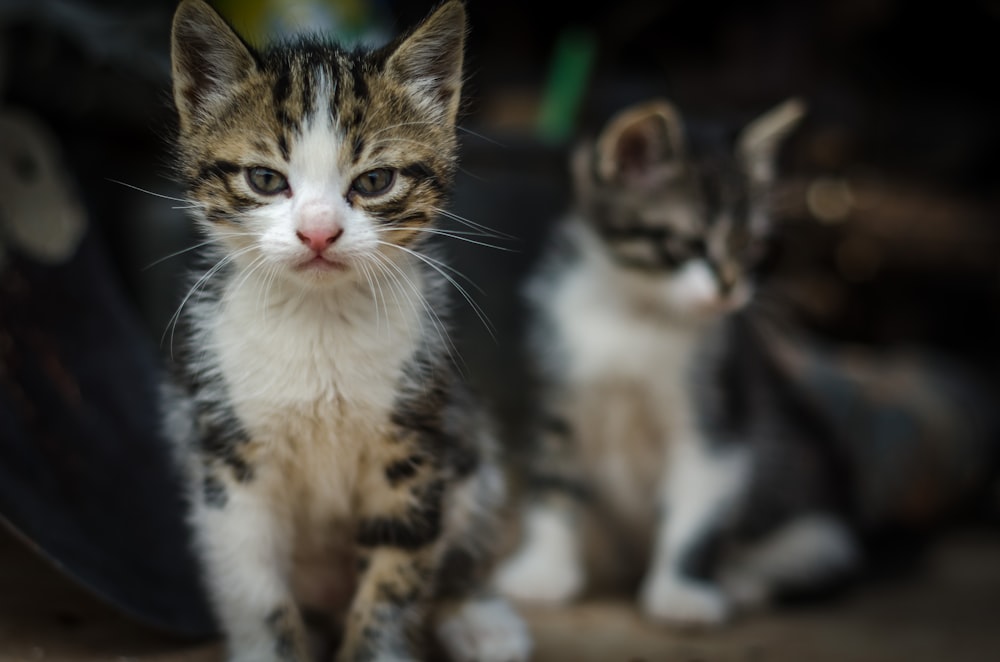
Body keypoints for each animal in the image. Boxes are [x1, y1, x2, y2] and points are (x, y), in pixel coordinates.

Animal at [160, 2, 532, 660]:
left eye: (375, 181)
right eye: (264, 179)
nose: (317, 232)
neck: (318, 320)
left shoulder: (414, 446)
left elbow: (394, 579)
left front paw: (379, 640)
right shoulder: (229, 461)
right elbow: (253, 584)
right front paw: (271, 644)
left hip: (469, 444)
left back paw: (477, 618)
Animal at [494, 96, 860, 624]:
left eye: (752, 247)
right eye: (689, 243)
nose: (729, 288)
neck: (638, 313)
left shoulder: (717, 411)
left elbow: (697, 505)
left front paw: (681, 593)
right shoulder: (559, 390)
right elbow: (552, 483)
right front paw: (543, 572)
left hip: (823, 525)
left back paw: (741, 581)